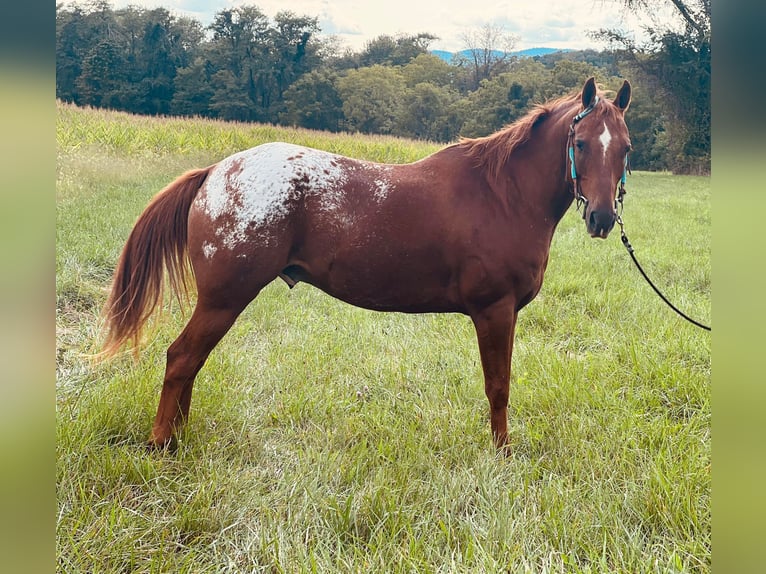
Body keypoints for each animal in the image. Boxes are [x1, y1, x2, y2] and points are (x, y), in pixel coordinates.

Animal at [105, 77, 636, 454]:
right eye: (582, 143)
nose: (602, 217)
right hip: (224, 299)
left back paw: (177, 438)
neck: (502, 195)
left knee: (191, 363)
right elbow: (498, 386)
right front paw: (503, 454)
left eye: (626, 148)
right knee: (181, 359)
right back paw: (161, 443)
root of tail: (216, 172)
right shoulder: (495, 311)